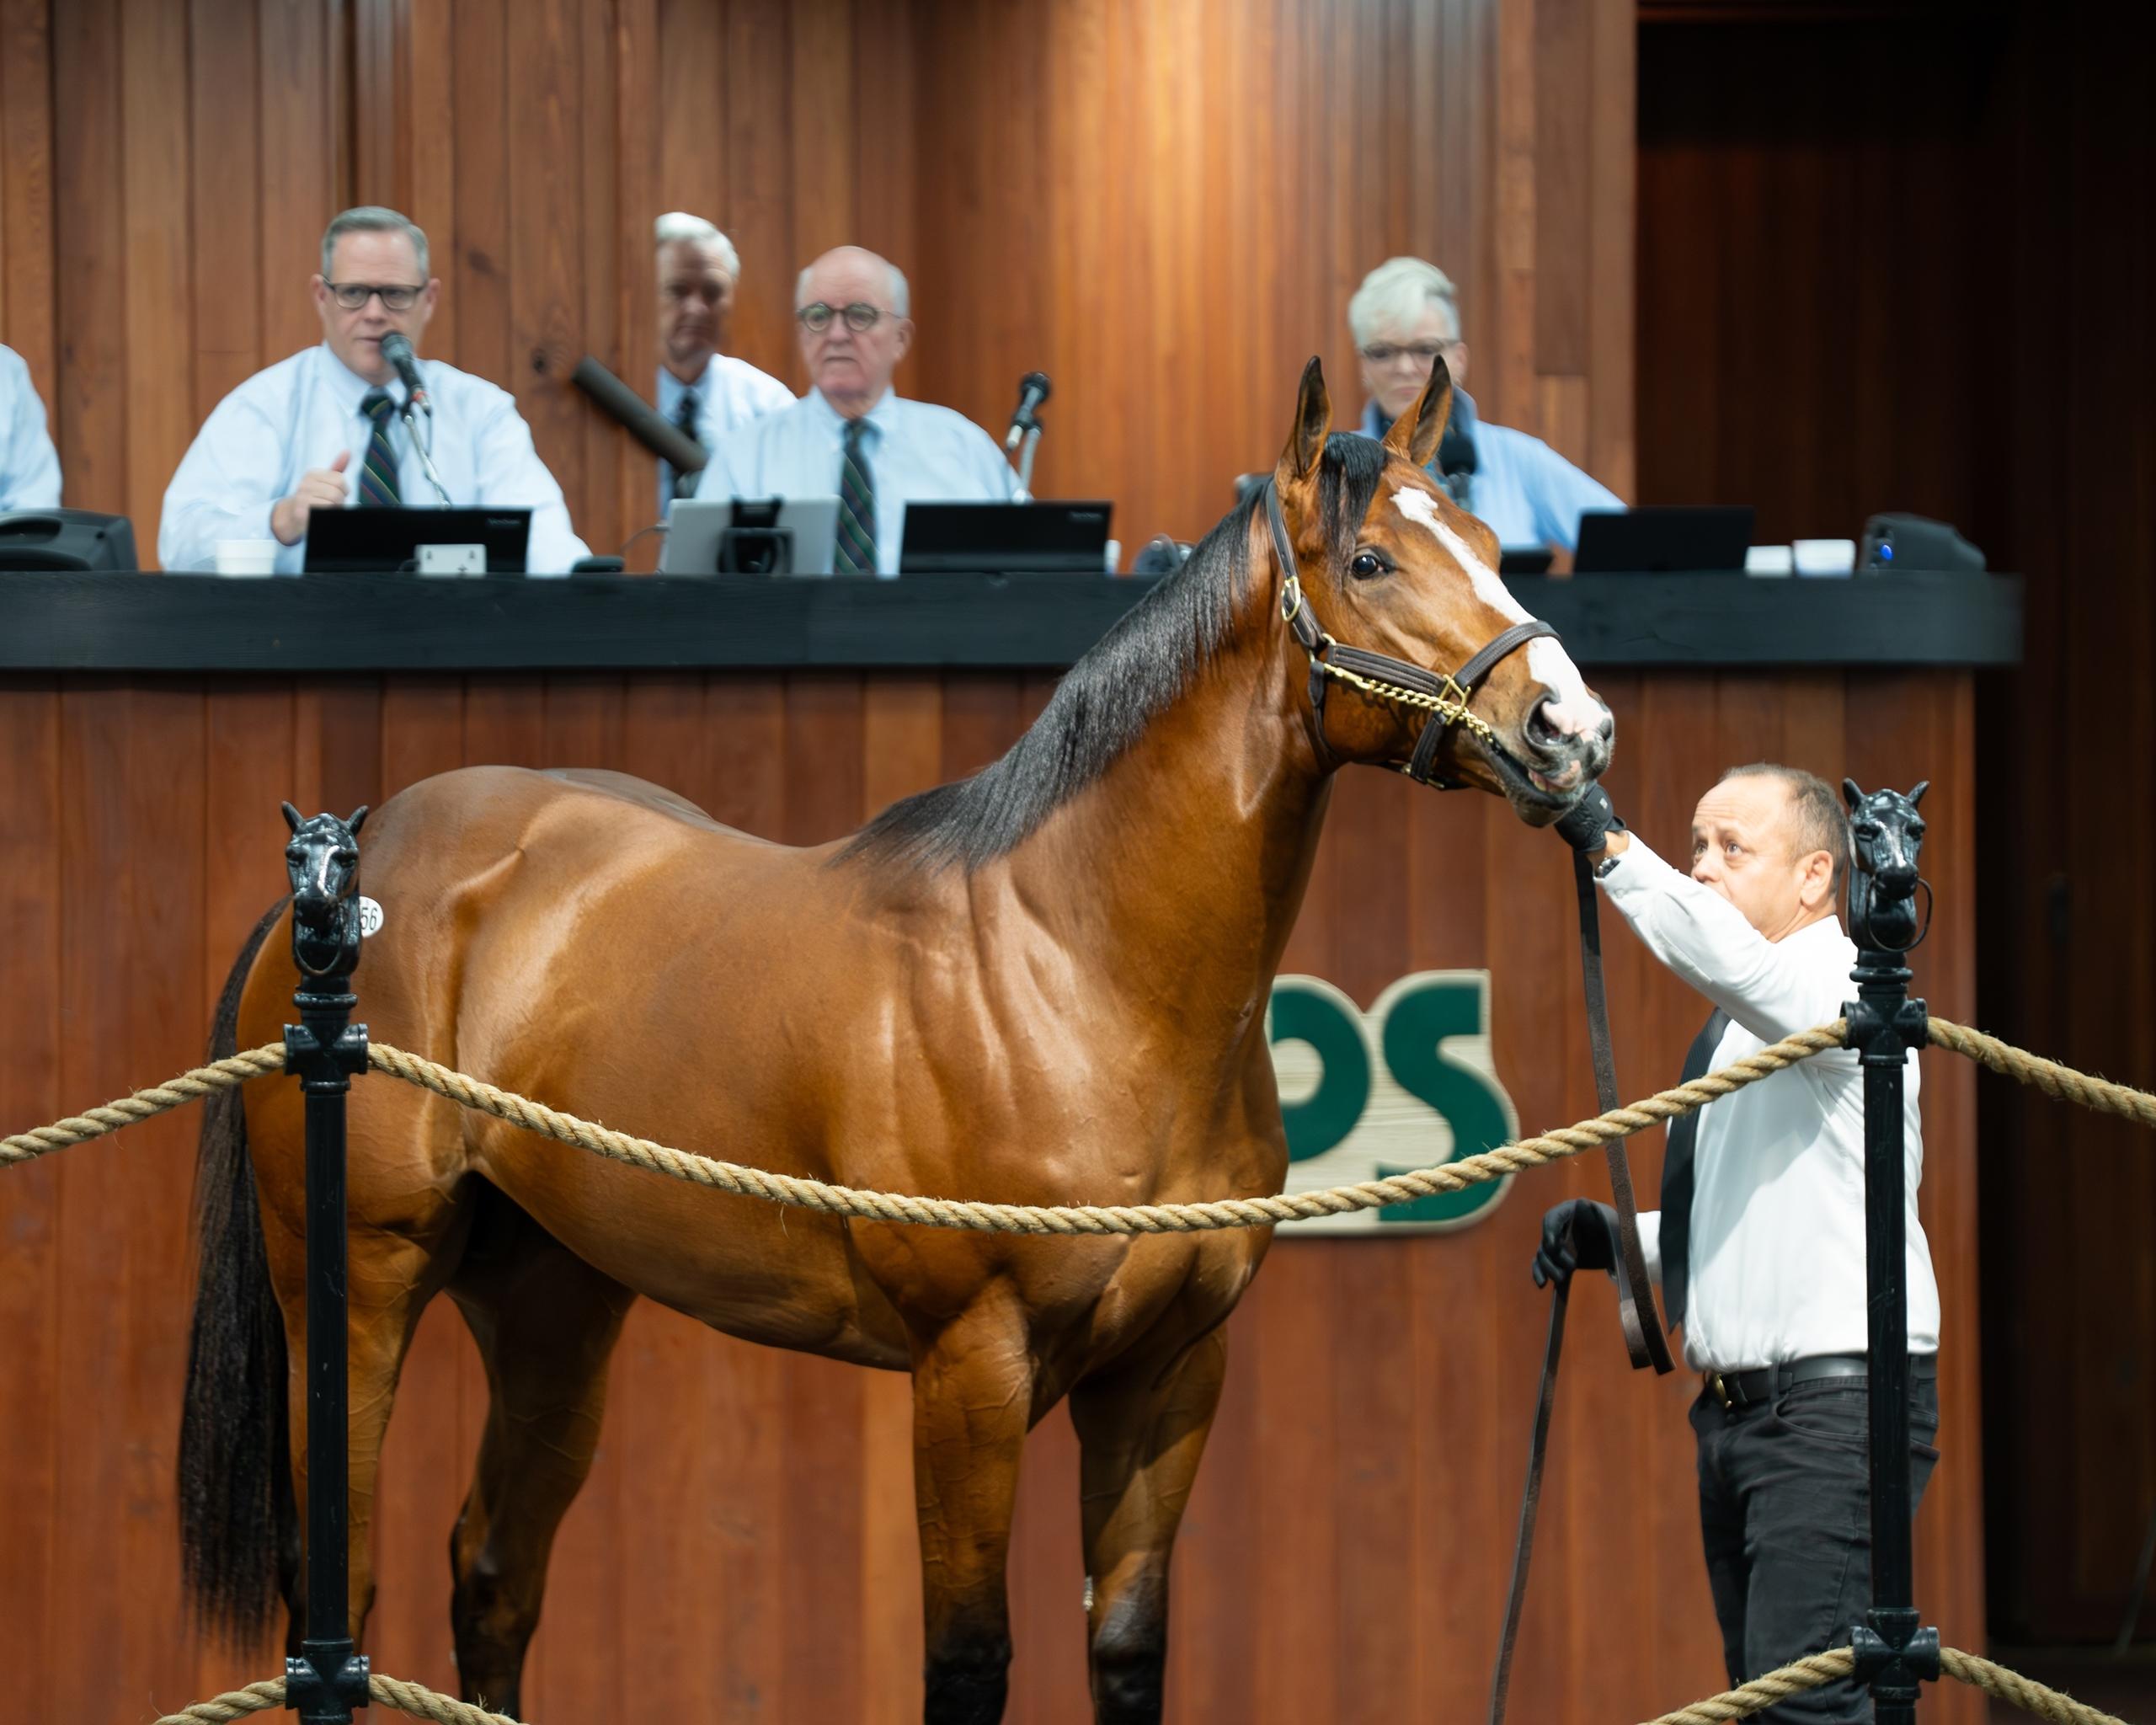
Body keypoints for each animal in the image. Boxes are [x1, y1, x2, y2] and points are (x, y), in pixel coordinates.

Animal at [179, 357, 1615, 1724]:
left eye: (1489, 539)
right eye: (1369, 560)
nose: (1573, 730)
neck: (1076, 973)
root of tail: (352, 863)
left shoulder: (1169, 1373)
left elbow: (1128, 1651)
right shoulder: (971, 1373)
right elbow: (969, 1666)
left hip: (553, 1300)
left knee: (493, 1572)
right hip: (359, 1290)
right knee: (339, 1588)